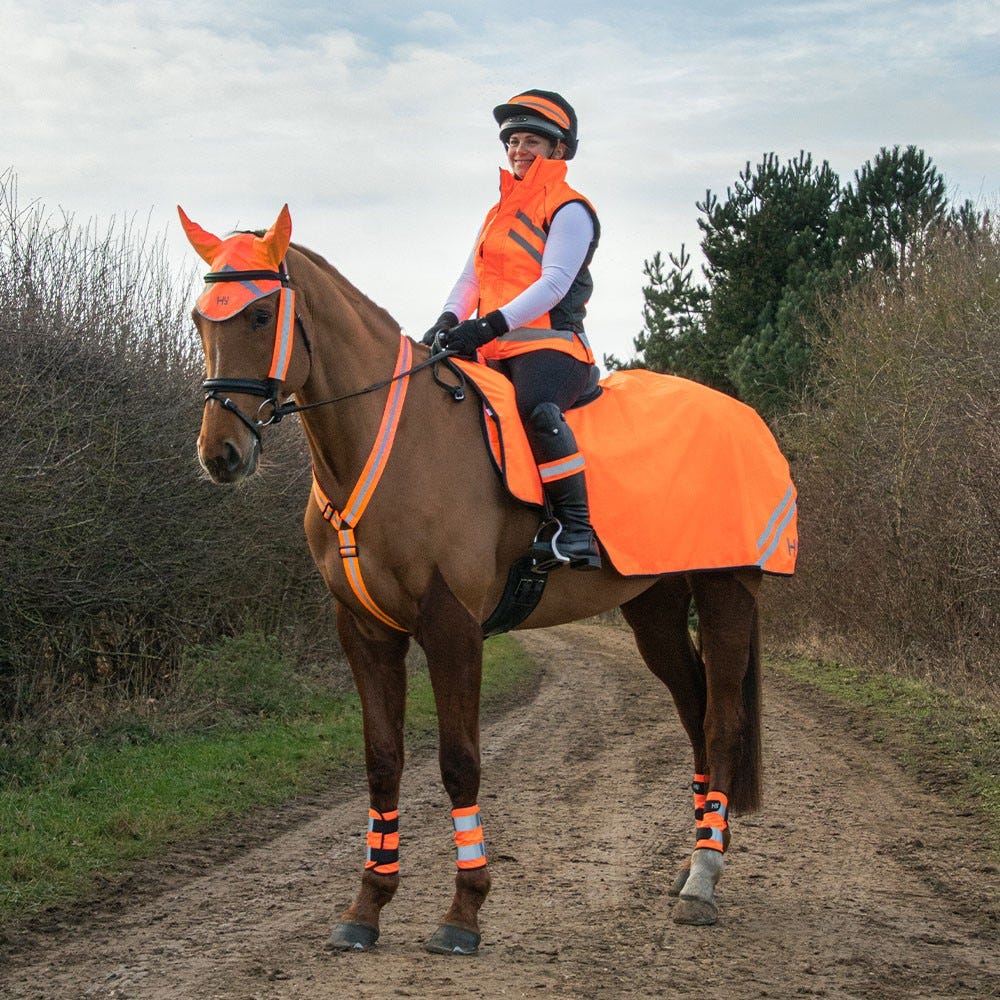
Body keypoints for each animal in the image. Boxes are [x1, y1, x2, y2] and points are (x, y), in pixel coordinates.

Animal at [178, 203, 788, 952]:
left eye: (262, 315)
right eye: (201, 318)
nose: (221, 453)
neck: (391, 439)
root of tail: (743, 414)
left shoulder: (452, 627)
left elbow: (458, 761)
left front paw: (463, 911)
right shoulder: (365, 631)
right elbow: (383, 760)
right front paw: (367, 905)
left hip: (727, 591)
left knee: (723, 720)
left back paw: (703, 877)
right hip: (656, 608)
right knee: (695, 712)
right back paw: (696, 857)